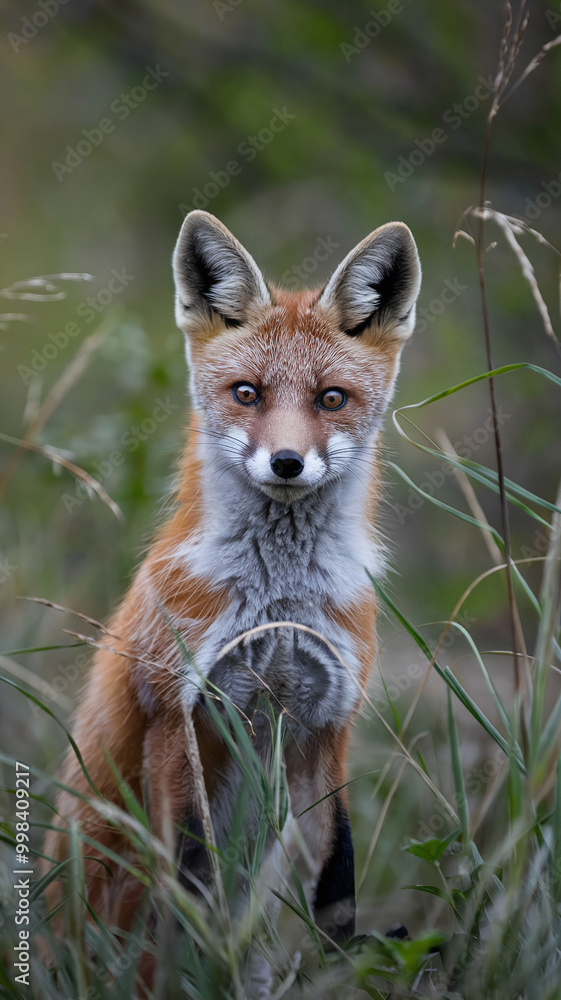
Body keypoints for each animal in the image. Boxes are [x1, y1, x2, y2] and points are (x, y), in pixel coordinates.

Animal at [44, 210, 421, 991]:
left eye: (330, 398)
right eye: (247, 393)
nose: (287, 462)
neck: (277, 599)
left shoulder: (326, 721)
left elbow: (336, 883)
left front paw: (340, 964)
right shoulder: (178, 710)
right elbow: (189, 872)